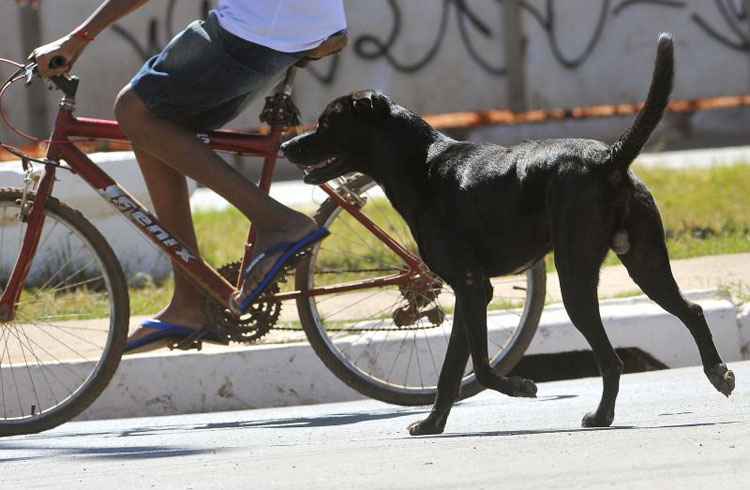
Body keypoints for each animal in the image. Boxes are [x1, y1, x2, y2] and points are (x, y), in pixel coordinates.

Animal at [282, 33, 736, 432]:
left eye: (327, 122)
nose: (286, 147)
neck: (420, 163)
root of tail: (609, 157)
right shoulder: (466, 293)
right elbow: (451, 370)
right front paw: (432, 424)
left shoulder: (472, 287)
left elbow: (482, 368)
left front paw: (518, 386)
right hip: (645, 262)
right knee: (691, 311)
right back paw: (716, 373)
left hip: (575, 278)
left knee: (612, 358)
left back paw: (603, 415)